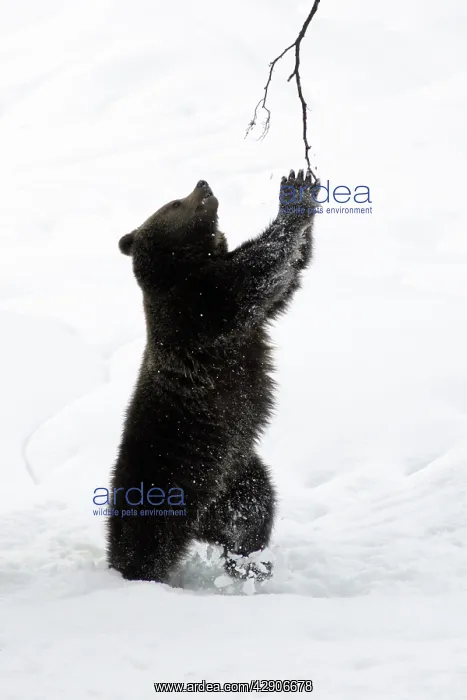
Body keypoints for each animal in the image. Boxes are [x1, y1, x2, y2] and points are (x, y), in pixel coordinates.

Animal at [107, 169, 318, 584]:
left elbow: (286, 281)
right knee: (145, 543)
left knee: (251, 513)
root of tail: (200, 522)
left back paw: (251, 564)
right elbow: (260, 270)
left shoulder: (245, 320)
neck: (183, 270)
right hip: (163, 478)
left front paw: (304, 186)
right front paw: (294, 194)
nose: (202, 183)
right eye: (175, 202)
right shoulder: (203, 309)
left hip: (233, 476)